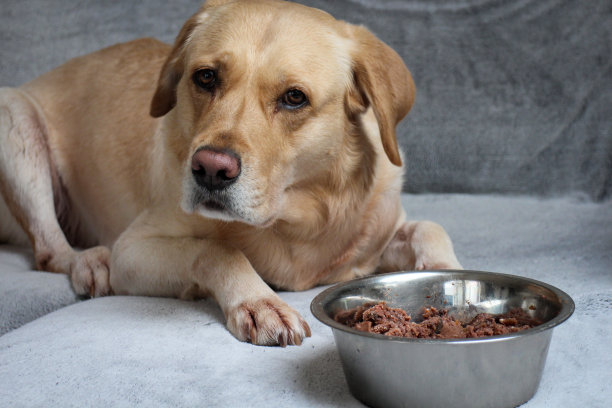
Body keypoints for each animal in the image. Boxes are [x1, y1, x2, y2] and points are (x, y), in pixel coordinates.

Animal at [0, 0, 460, 346]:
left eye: (294, 98)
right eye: (206, 77)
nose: (210, 169)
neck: (300, 217)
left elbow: (430, 227)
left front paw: (447, 278)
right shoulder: (131, 250)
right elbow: (217, 250)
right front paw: (258, 301)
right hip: (17, 120)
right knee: (50, 251)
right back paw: (87, 261)